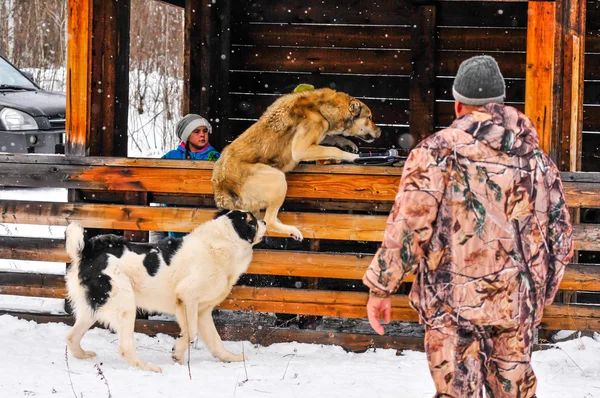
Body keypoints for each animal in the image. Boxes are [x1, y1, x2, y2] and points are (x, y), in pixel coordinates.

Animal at [62, 210, 264, 372]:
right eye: (252, 221)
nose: (264, 221)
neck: (220, 245)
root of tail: (88, 251)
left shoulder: (203, 311)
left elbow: (215, 342)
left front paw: (231, 358)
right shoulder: (187, 298)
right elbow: (191, 332)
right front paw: (178, 352)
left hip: (93, 309)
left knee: (71, 337)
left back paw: (82, 355)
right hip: (125, 306)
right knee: (125, 347)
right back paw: (148, 368)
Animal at [211, 88, 380, 241]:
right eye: (370, 117)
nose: (380, 131)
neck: (321, 109)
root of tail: (220, 188)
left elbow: (331, 138)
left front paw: (348, 143)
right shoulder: (301, 149)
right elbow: (334, 149)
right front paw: (353, 156)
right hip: (277, 179)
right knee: (269, 221)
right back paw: (291, 230)